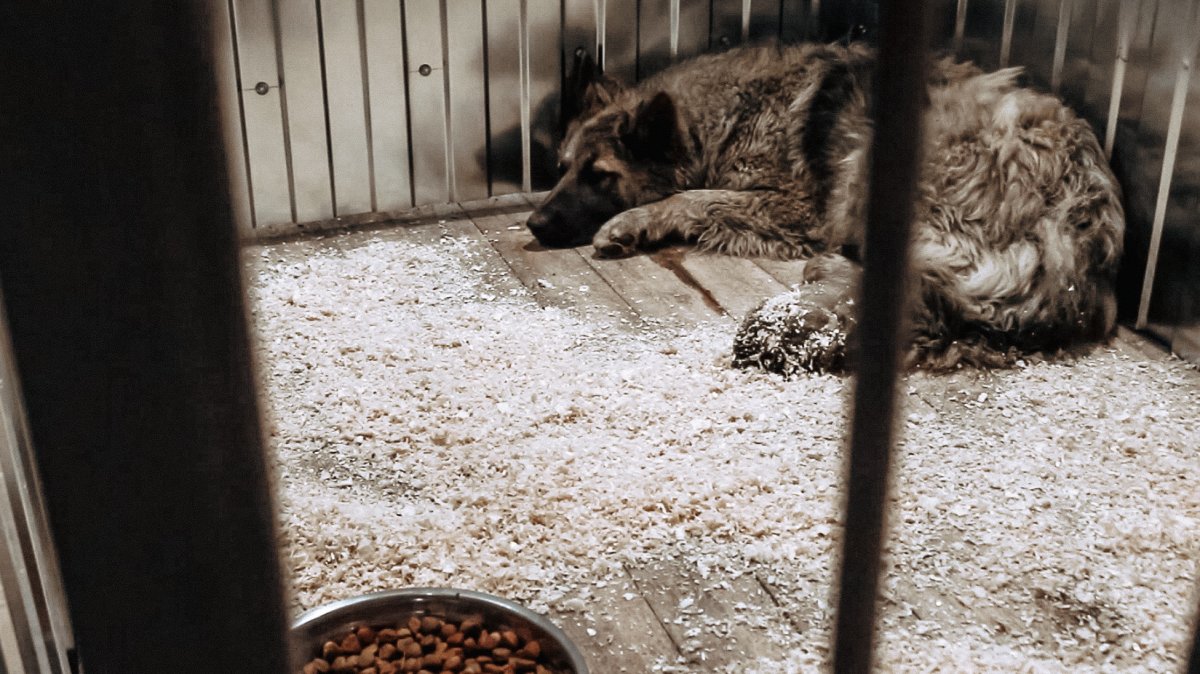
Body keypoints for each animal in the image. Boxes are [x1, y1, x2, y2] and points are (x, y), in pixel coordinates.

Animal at [525, 43, 1124, 374]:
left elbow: (692, 197)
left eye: (601, 176)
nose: (534, 222)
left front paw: (629, 223)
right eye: (561, 168)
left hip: (870, 162)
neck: (724, 119)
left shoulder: (795, 206)